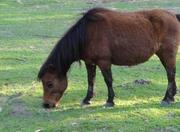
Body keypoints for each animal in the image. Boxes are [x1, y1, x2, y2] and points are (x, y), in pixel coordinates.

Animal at [38, 7, 180, 108]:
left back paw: (166, 98)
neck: (87, 33)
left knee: (170, 74)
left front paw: (110, 101)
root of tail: (173, 15)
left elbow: (108, 80)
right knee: (171, 73)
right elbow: (90, 80)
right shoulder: (90, 62)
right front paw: (87, 99)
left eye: (49, 83)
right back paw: (172, 96)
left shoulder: (104, 62)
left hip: (167, 53)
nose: (46, 104)